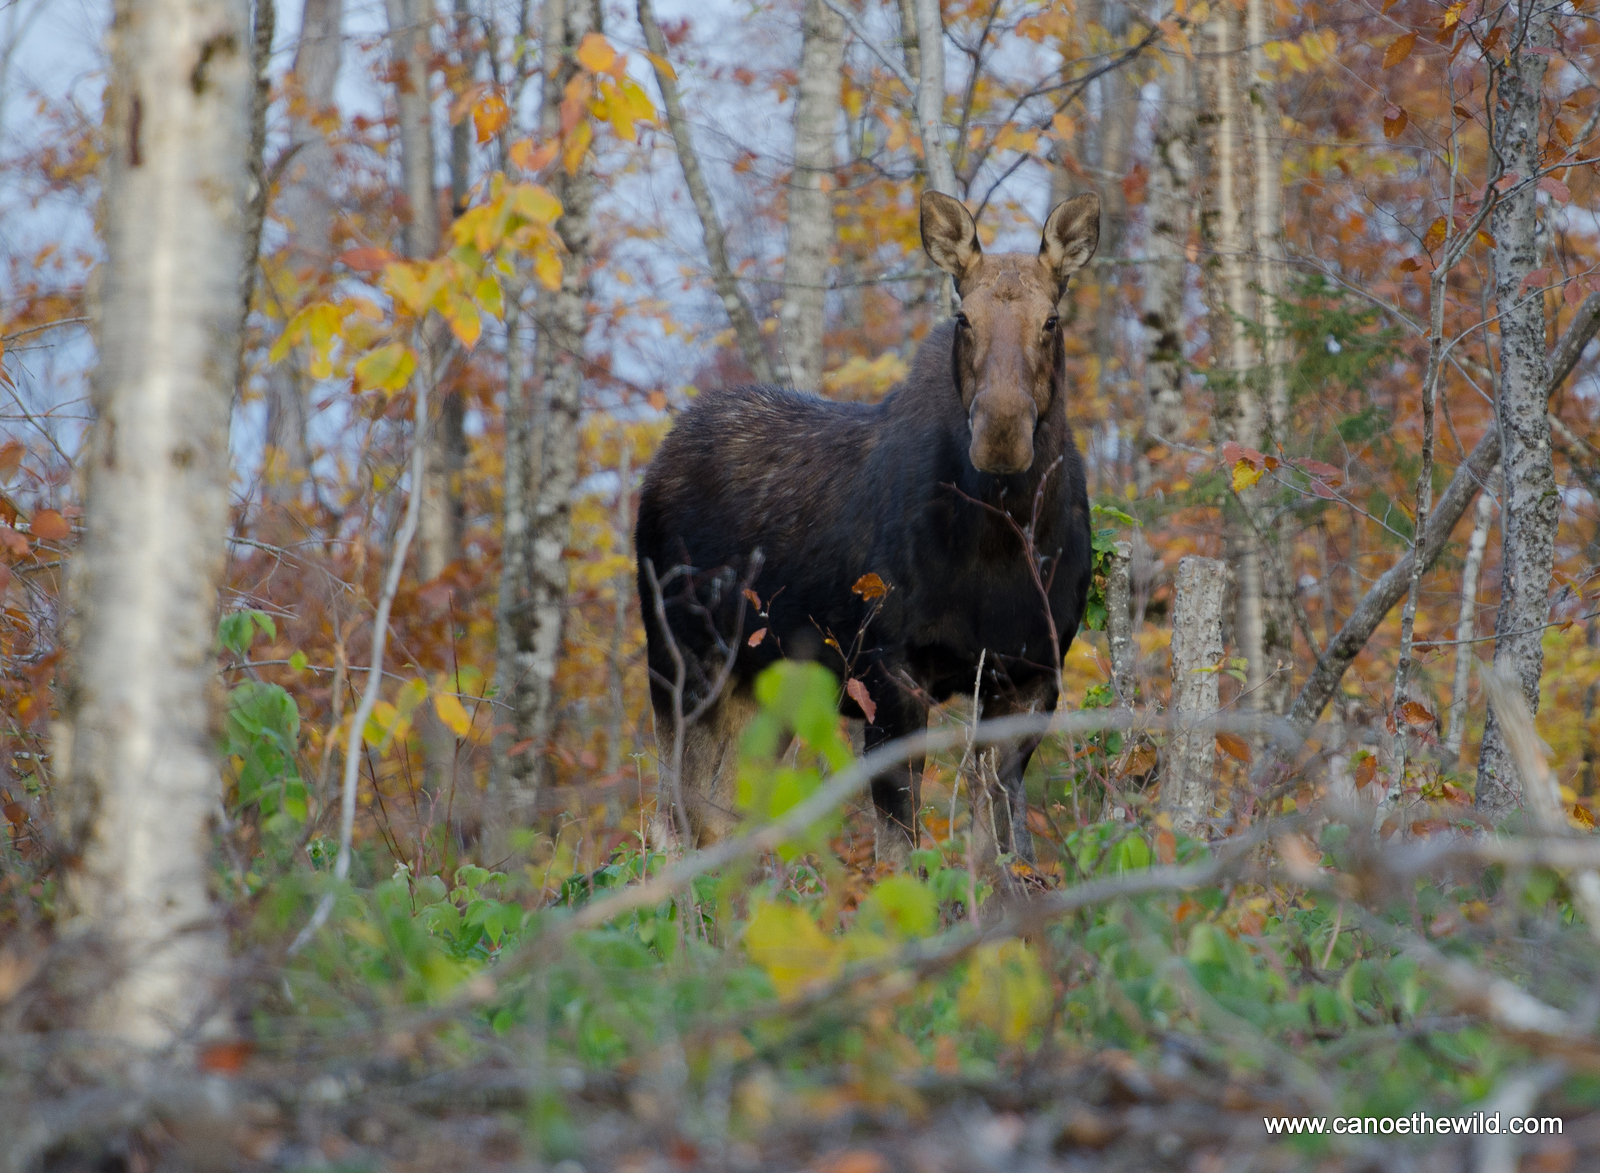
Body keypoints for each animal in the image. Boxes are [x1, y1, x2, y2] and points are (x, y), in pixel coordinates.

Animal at [635, 189, 1101, 863]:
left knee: (723, 821)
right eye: (964, 318)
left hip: (765, 688)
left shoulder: (1030, 678)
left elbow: (996, 851)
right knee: (676, 825)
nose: (1001, 431)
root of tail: (660, 459)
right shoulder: (890, 674)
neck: (1004, 544)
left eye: (1051, 320)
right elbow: (902, 854)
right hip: (681, 666)